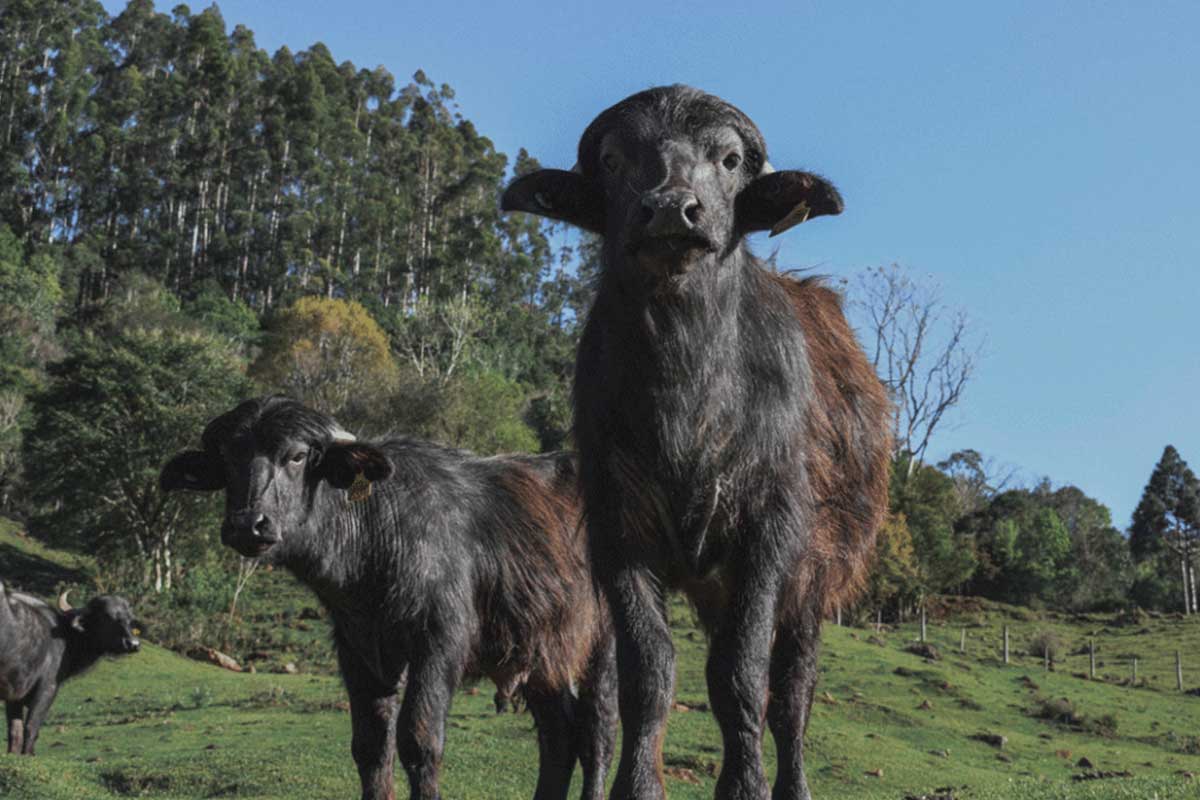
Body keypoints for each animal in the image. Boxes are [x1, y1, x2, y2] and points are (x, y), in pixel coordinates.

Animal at [0, 585, 139, 753]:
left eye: (129, 619)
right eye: (107, 617)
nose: (132, 644)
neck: (66, 635)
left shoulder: (15, 696)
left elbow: (15, 732)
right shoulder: (48, 688)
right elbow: (31, 727)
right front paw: (28, 754)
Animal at [160, 398, 619, 800]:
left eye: (296, 456)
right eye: (228, 458)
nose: (248, 524)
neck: (378, 534)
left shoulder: (439, 644)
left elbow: (420, 740)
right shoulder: (359, 650)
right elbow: (370, 748)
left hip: (604, 642)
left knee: (597, 733)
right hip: (542, 651)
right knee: (560, 733)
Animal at [499, 84, 892, 796]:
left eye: (730, 159)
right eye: (613, 158)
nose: (671, 210)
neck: (690, 396)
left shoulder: (770, 535)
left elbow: (743, 679)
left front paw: (746, 785)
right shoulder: (618, 536)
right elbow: (649, 676)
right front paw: (639, 785)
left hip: (815, 584)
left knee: (792, 696)